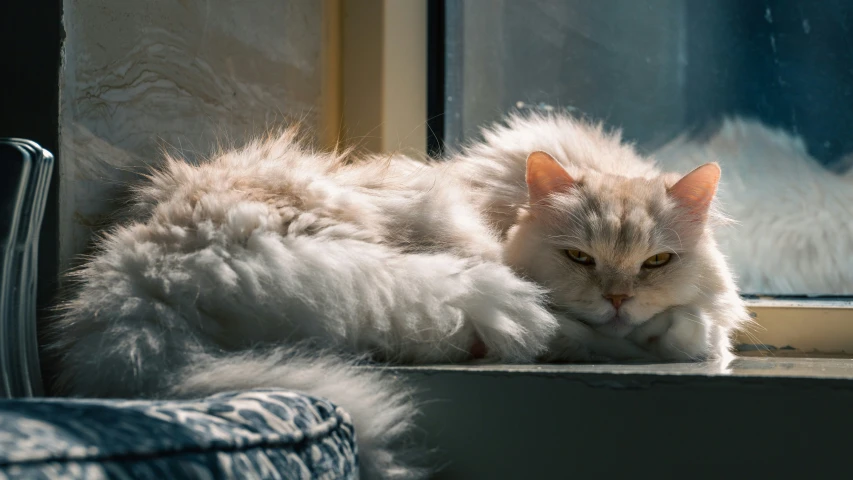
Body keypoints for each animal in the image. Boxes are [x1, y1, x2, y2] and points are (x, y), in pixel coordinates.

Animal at [51, 114, 744, 478]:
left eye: (657, 262)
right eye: (580, 257)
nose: (620, 299)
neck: (505, 208)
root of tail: (138, 275)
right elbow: (680, 328)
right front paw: (677, 332)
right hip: (439, 263)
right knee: (540, 334)